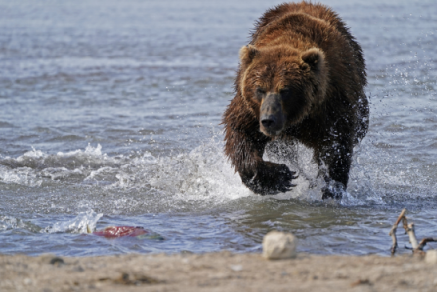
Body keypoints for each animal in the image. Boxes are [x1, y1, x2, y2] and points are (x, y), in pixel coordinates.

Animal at [221, 1, 368, 198]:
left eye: (285, 90)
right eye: (260, 89)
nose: (268, 120)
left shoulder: (331, 104)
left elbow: (336, 147)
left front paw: (331, 189)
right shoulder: (250, 109)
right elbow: (240, 133)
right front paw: (279, 177)